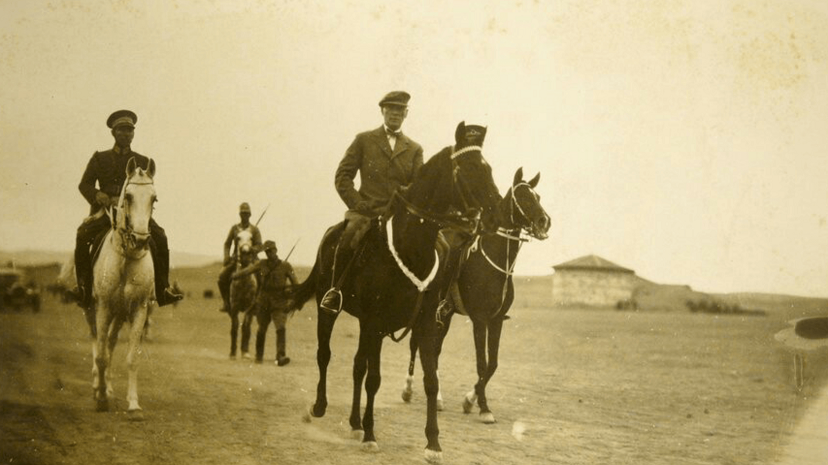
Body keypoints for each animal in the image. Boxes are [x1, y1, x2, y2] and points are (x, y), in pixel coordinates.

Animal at [90, 157, 157, 420]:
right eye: (127, 196)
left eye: (154, 199)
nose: (140, 239)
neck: (126, 258)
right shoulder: (103, 307)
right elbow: (100, 355)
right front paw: (100, 399)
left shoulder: (139, 309)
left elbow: (131, 358)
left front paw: (134, 405)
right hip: (95, 310)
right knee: (99, 344)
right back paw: (98, 386)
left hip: (119, 315)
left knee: (109, 344)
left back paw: (106, 387)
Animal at [288, 121, 502, 462]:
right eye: (469, 169)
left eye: (488, 168)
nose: (495, 215)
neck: (410, 247)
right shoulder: (375, 323)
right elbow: (374, 379)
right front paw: (371, 435)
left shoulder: (424, 324)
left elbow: (430, 380)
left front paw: (433, 443)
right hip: (328, 309)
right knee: (325, 355)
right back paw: (320, 407)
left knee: (357, 366)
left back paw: (354, 422)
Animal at [402, 167, 548, 424]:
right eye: (523, 198)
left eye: (537, 197)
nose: (545, 221)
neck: (495, 260)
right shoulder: (479, 320)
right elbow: (482, 363)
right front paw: (483, 407)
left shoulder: (496, 320)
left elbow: (493, 364)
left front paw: (470, 400)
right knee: (416, 344)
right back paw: (408, 389)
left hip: (446, 315)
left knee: (434, 350)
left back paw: (437, 398)